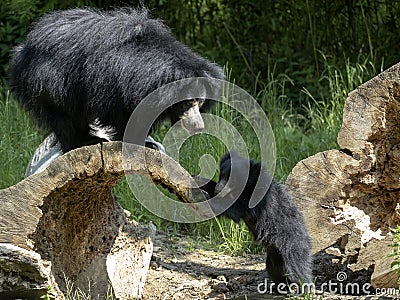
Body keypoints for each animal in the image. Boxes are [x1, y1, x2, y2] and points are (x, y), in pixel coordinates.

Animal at [8, 7, 225, 152]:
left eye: (201, 102)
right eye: (187, 103)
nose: (199, 126)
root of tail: (22, 50)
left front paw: (147, 142)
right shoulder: (115, 83)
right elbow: (122, 113)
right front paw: (139, 143)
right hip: (50, 81)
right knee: (64, 116)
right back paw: (82, 142)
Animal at [194, 151, 312, 284]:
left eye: (233, 180)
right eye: (221, 175)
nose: (218, 189)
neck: (248, 186)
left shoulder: (256, 201)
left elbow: (233, 208)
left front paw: (205, 196)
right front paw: (197, 180)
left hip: (291, 245)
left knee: (297, 269)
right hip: (274, 259)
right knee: (275, 270)